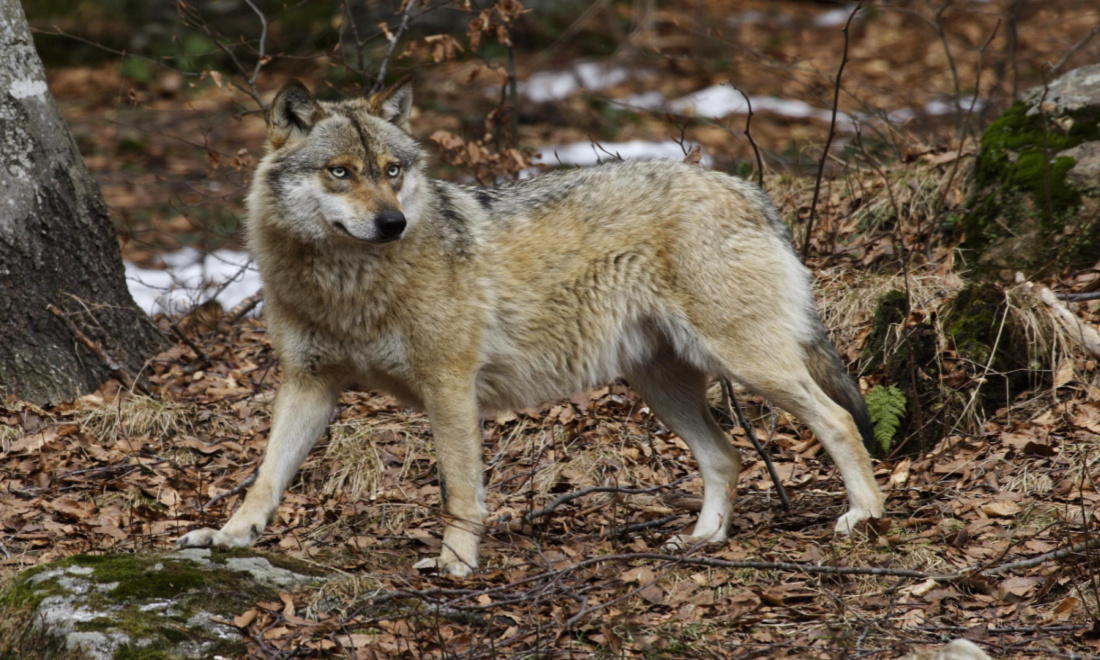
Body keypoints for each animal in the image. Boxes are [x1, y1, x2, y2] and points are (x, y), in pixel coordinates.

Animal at [176, 79, 886, 576]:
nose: (392, 223)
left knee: (838, 420)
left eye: (392, 171)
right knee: (727, 455)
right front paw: (229, 537)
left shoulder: (448, 386)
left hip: (747, 363)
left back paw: (864, 514)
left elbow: (460, 489)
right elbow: (266, 476)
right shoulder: (309, 383)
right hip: (661, 384)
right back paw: (704, 538)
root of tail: (745, 188)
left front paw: (457, 563)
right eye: (340, 171)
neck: (348, 283)